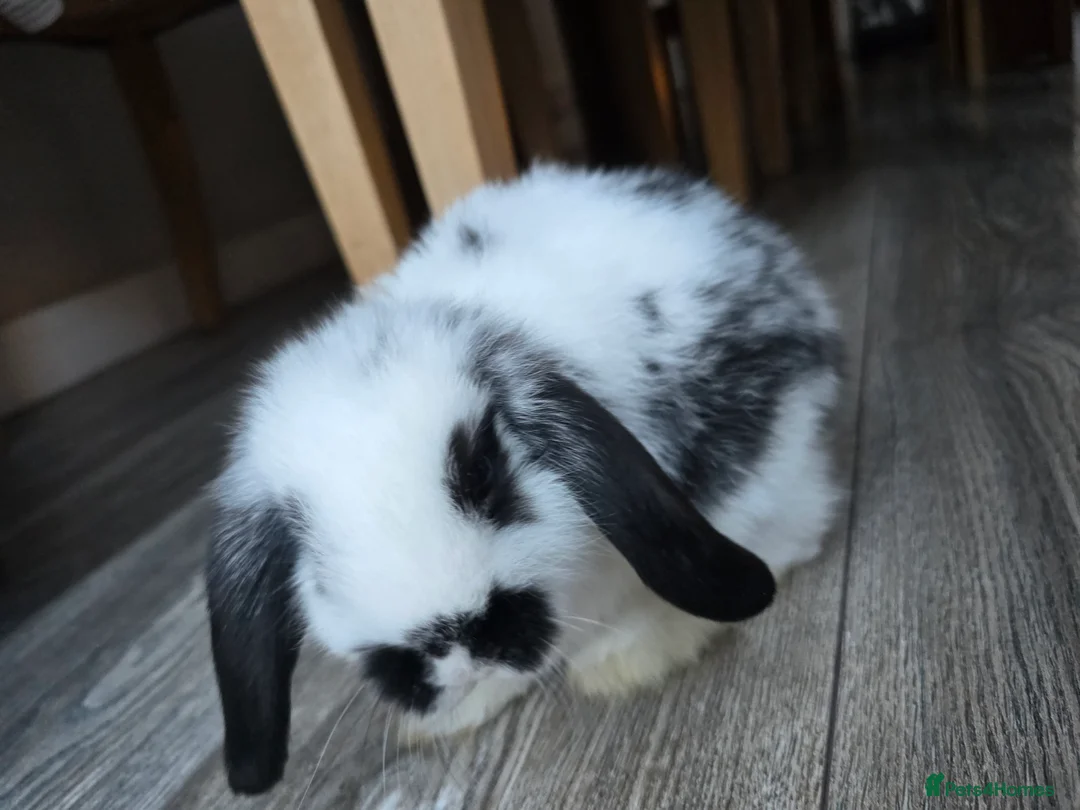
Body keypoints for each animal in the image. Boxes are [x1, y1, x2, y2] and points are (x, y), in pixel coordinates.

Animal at [205, 163, 845, 795]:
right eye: (312, 558)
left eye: (483, 472)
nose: (458, 641)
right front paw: (452, 716)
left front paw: (623, 663)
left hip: (766, 470)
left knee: (792, 531)